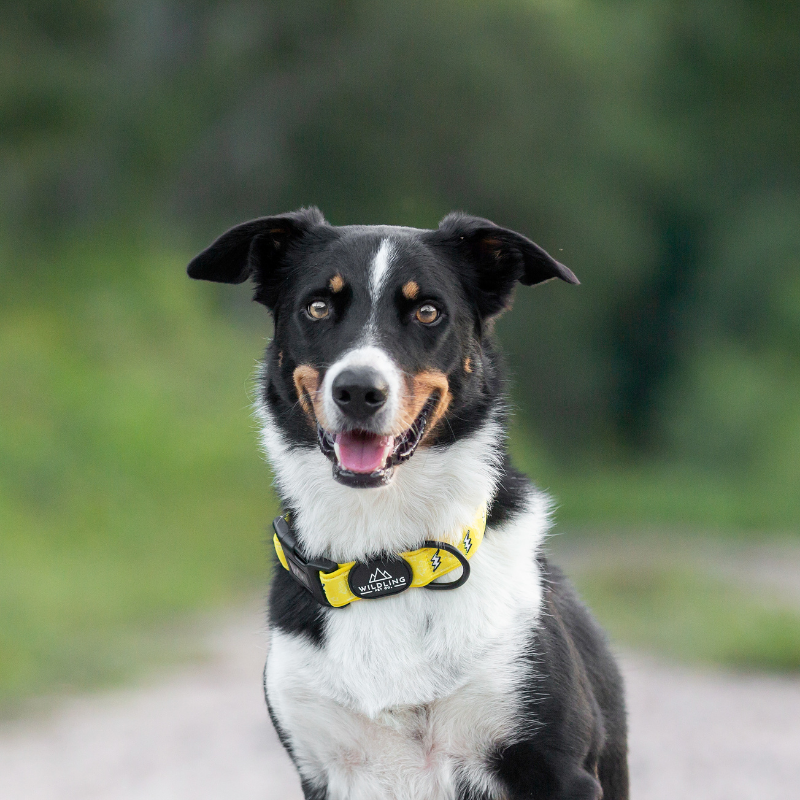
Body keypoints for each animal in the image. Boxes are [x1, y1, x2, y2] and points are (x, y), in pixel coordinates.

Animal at [189, 208, 632, 800]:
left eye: (427, 311)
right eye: (318, 306)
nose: (358, 390)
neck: (382, 564)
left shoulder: (559, 772)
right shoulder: (320, 768)